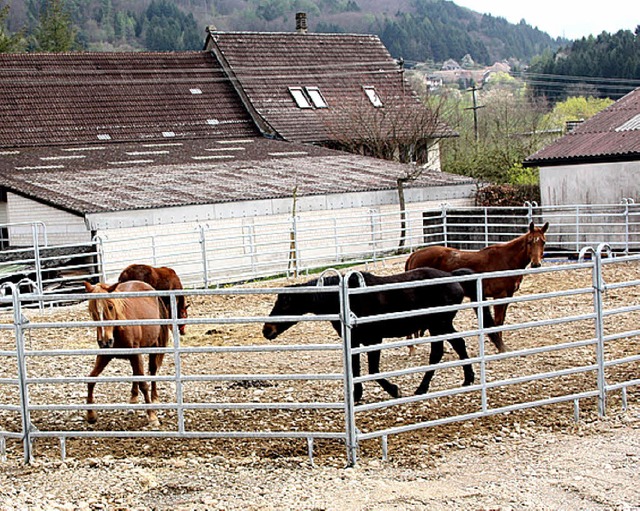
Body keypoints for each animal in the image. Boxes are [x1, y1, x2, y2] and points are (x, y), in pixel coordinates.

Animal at [84, 278, 170, 426]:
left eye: (110, 306)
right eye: (92, 310)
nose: (105, 341)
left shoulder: (136, 353)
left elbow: (144, 384)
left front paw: (152, 416)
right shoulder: (105, 355)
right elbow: (91, 379)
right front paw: (91, 415)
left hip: (154, 346)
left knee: (153, 371)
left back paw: (154, 398)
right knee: (135, 373)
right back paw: (133, 398)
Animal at [408, 222, 548, 354]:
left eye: (543, 242)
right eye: (530, 241)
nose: (536, 264)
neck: (506, 260)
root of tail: (414, 255)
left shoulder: (508, 296)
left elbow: (501, 321)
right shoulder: (499, 296)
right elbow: (497, 321)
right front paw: (500, 347)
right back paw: (412, 348)